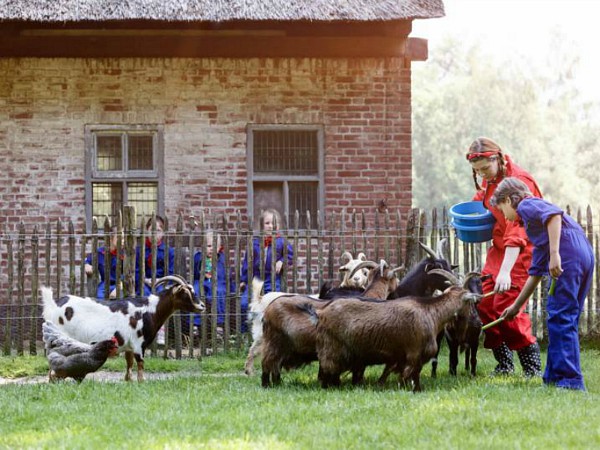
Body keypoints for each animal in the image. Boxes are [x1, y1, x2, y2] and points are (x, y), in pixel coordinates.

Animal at [40, 276, 204, 382]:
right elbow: (140, 363)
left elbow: (129, 362)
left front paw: (128, 380)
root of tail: (54, 305)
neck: (149, 310)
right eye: (185, 292)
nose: (202, 306)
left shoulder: (129, 346)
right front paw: (142, 381)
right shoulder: (138, 343)